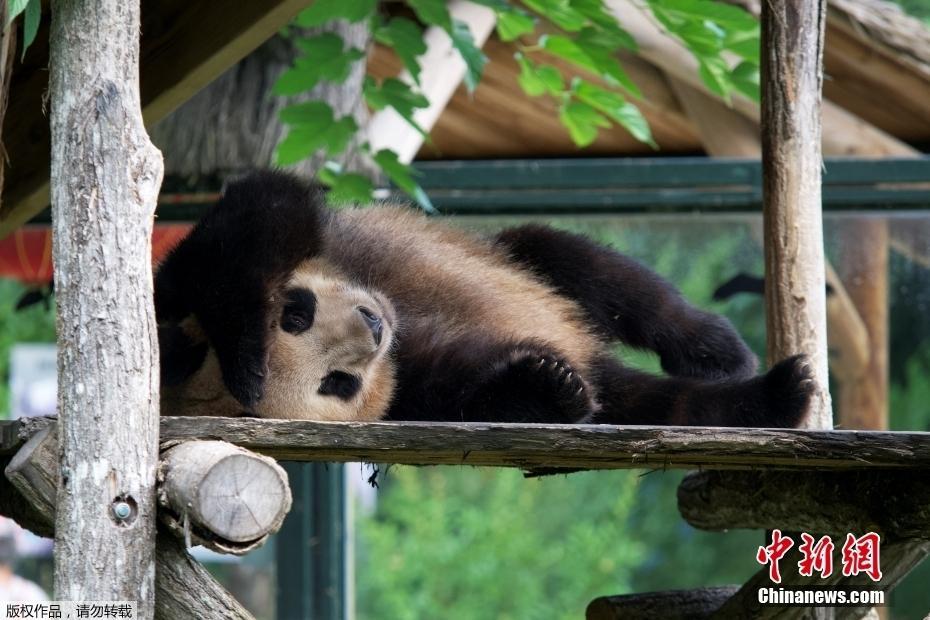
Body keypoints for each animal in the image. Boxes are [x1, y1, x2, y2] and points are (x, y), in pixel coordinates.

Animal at [154, 170, 812, 426]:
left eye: (297, 313)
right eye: (336, 383)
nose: (373, 328)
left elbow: (262, 212)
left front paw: (244, 351)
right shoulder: (412, 389)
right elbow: (470, 390)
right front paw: (548, 386)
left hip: (518, 261)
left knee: (590, 269)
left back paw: (719, 351)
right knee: (660, 404)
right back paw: (776, 396)